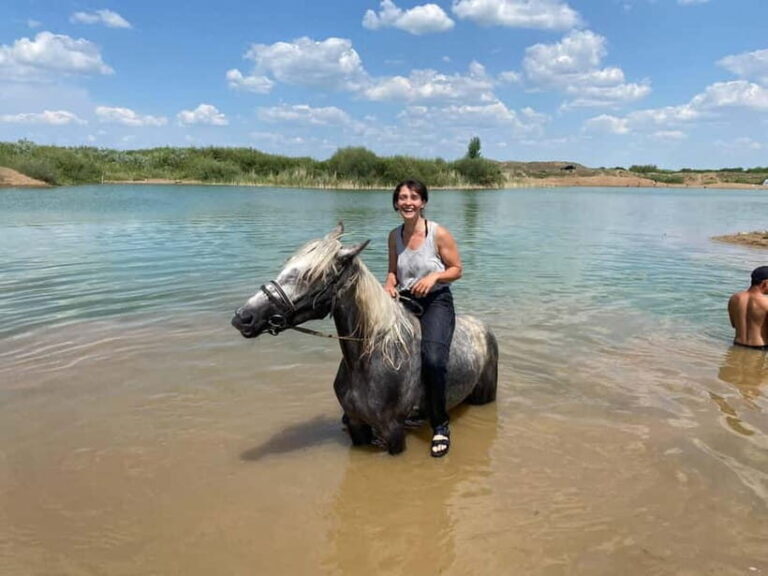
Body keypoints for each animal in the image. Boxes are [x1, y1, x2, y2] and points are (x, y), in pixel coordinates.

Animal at [231, 222, 498, 455]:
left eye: (309, 276)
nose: (243, 317)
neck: (370, 359)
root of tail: (483, 327)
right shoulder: (356, 425)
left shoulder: (393, 430)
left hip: (485, 396)